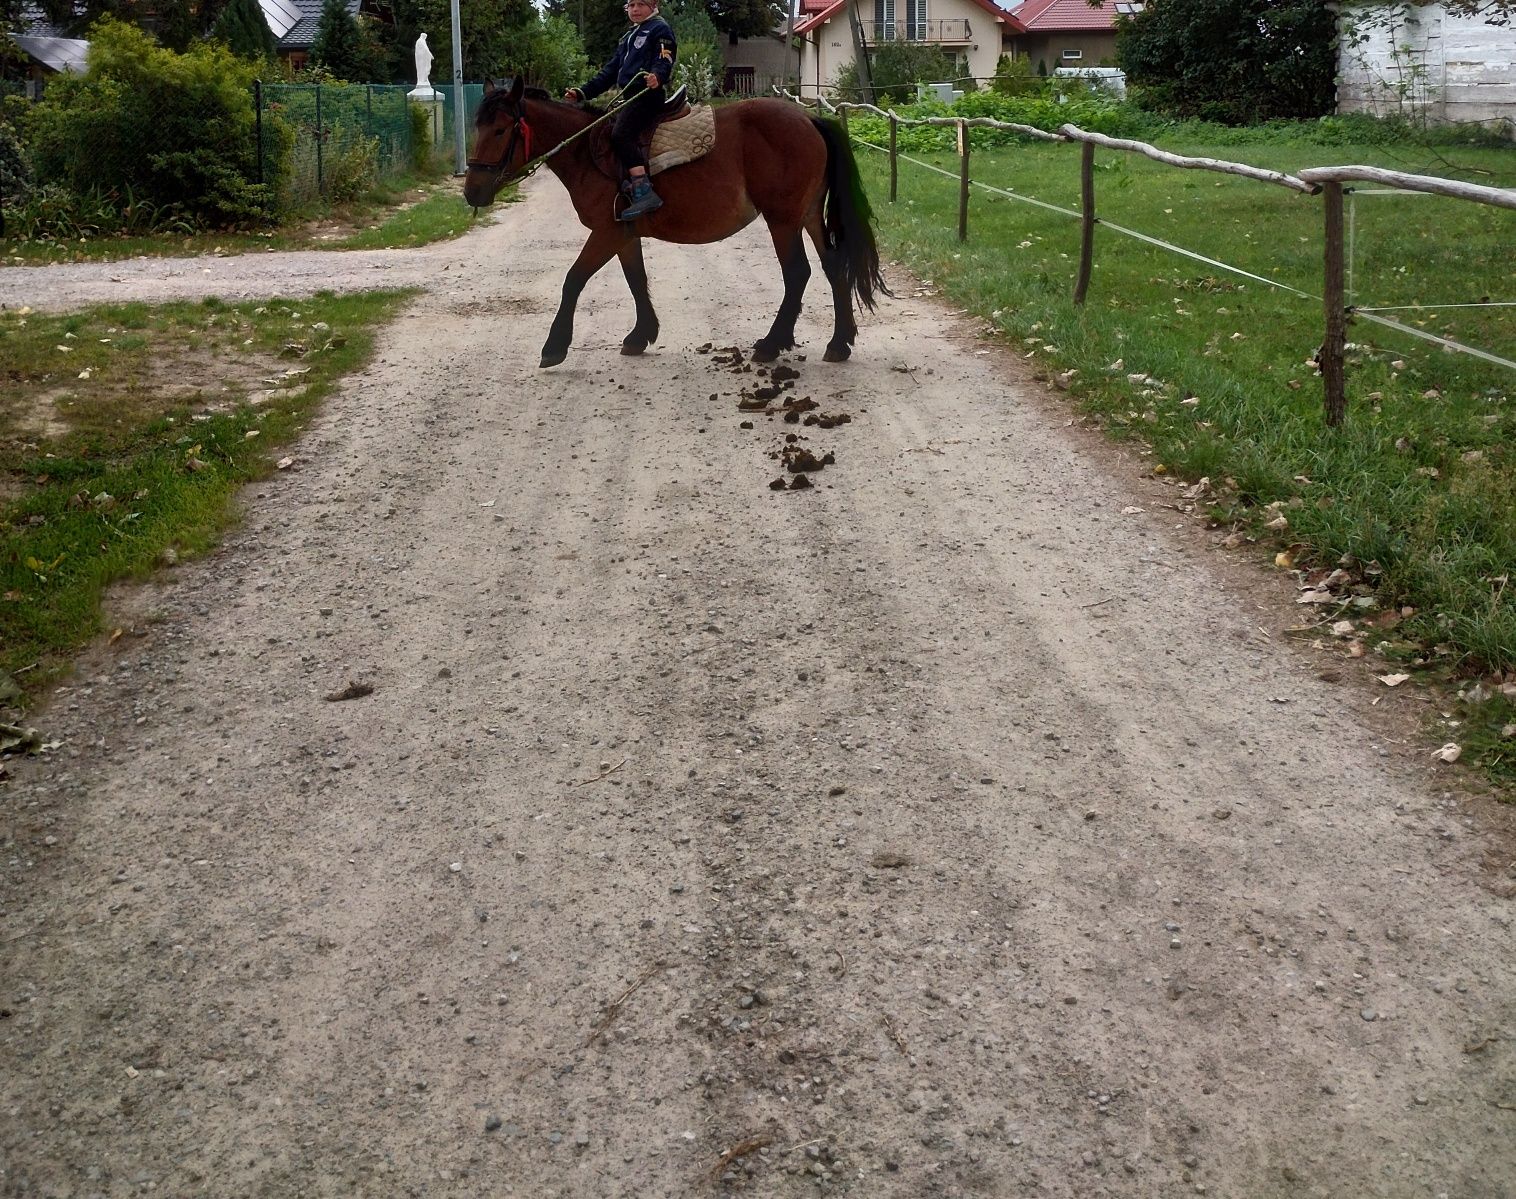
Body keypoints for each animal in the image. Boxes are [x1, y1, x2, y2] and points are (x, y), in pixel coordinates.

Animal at [460, 77, 885, 368]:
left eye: (500, 130)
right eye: (477, 128)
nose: (472, 192)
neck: (585, 150)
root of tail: (810, 119)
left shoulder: (605, 232)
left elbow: (573, 280)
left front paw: (554, 347)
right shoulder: (623, 233)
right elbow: (636, 279)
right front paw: (641, 334)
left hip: (783, 220)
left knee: (798, 273)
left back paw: (771, 344)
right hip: (809, 215)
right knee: (834, 267)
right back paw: (839, 343)